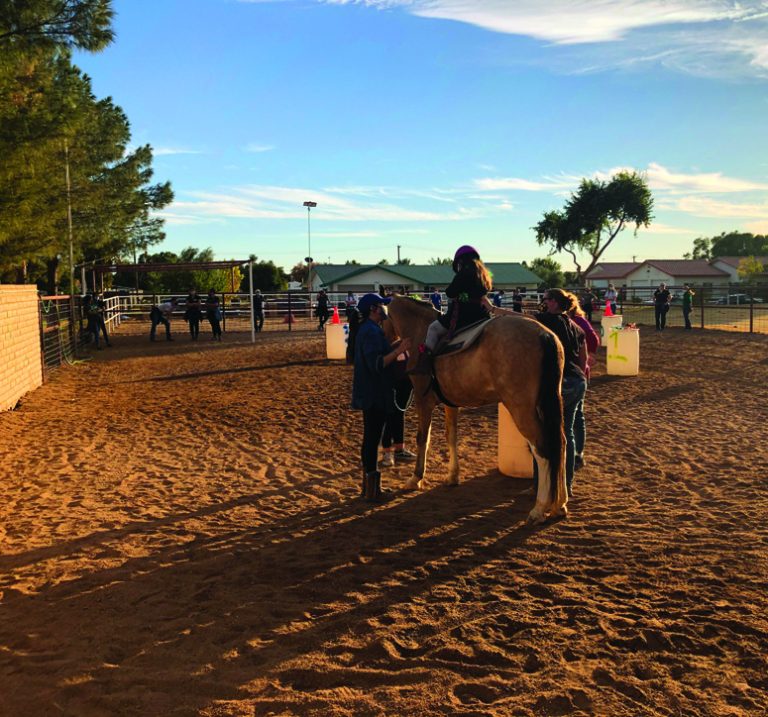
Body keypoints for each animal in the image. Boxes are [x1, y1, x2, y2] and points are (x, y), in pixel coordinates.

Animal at [388, 294, 568, 524]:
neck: (420, 329)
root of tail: (544, 334)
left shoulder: (423, 400)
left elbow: (423, 439)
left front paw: (416, 478)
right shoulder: (450, 404)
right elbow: (451, 436)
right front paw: (452, 476)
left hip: (522, 409)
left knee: (542, 449)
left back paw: (539, 508)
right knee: (561, 445)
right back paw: (559, 505)